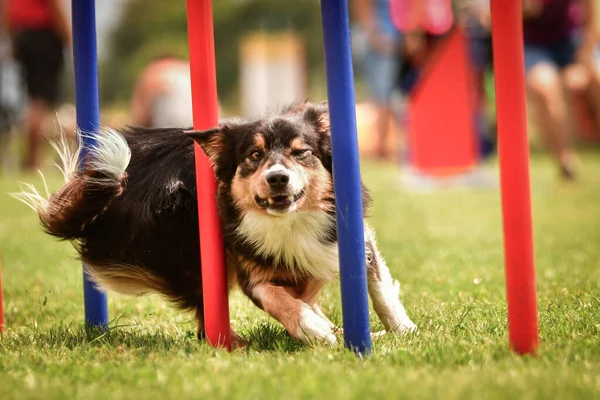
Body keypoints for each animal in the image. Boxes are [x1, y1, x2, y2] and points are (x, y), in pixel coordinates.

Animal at [15, 102, 418, 346]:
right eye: (253, 156)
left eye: (300, 152)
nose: (277, 178)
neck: (290, 222)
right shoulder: (248, 261)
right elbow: (276, 298)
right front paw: (312, 327)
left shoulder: (349, 237)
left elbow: (378, 286)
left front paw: (402, 330)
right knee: (204, 310)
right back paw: (233, 343)